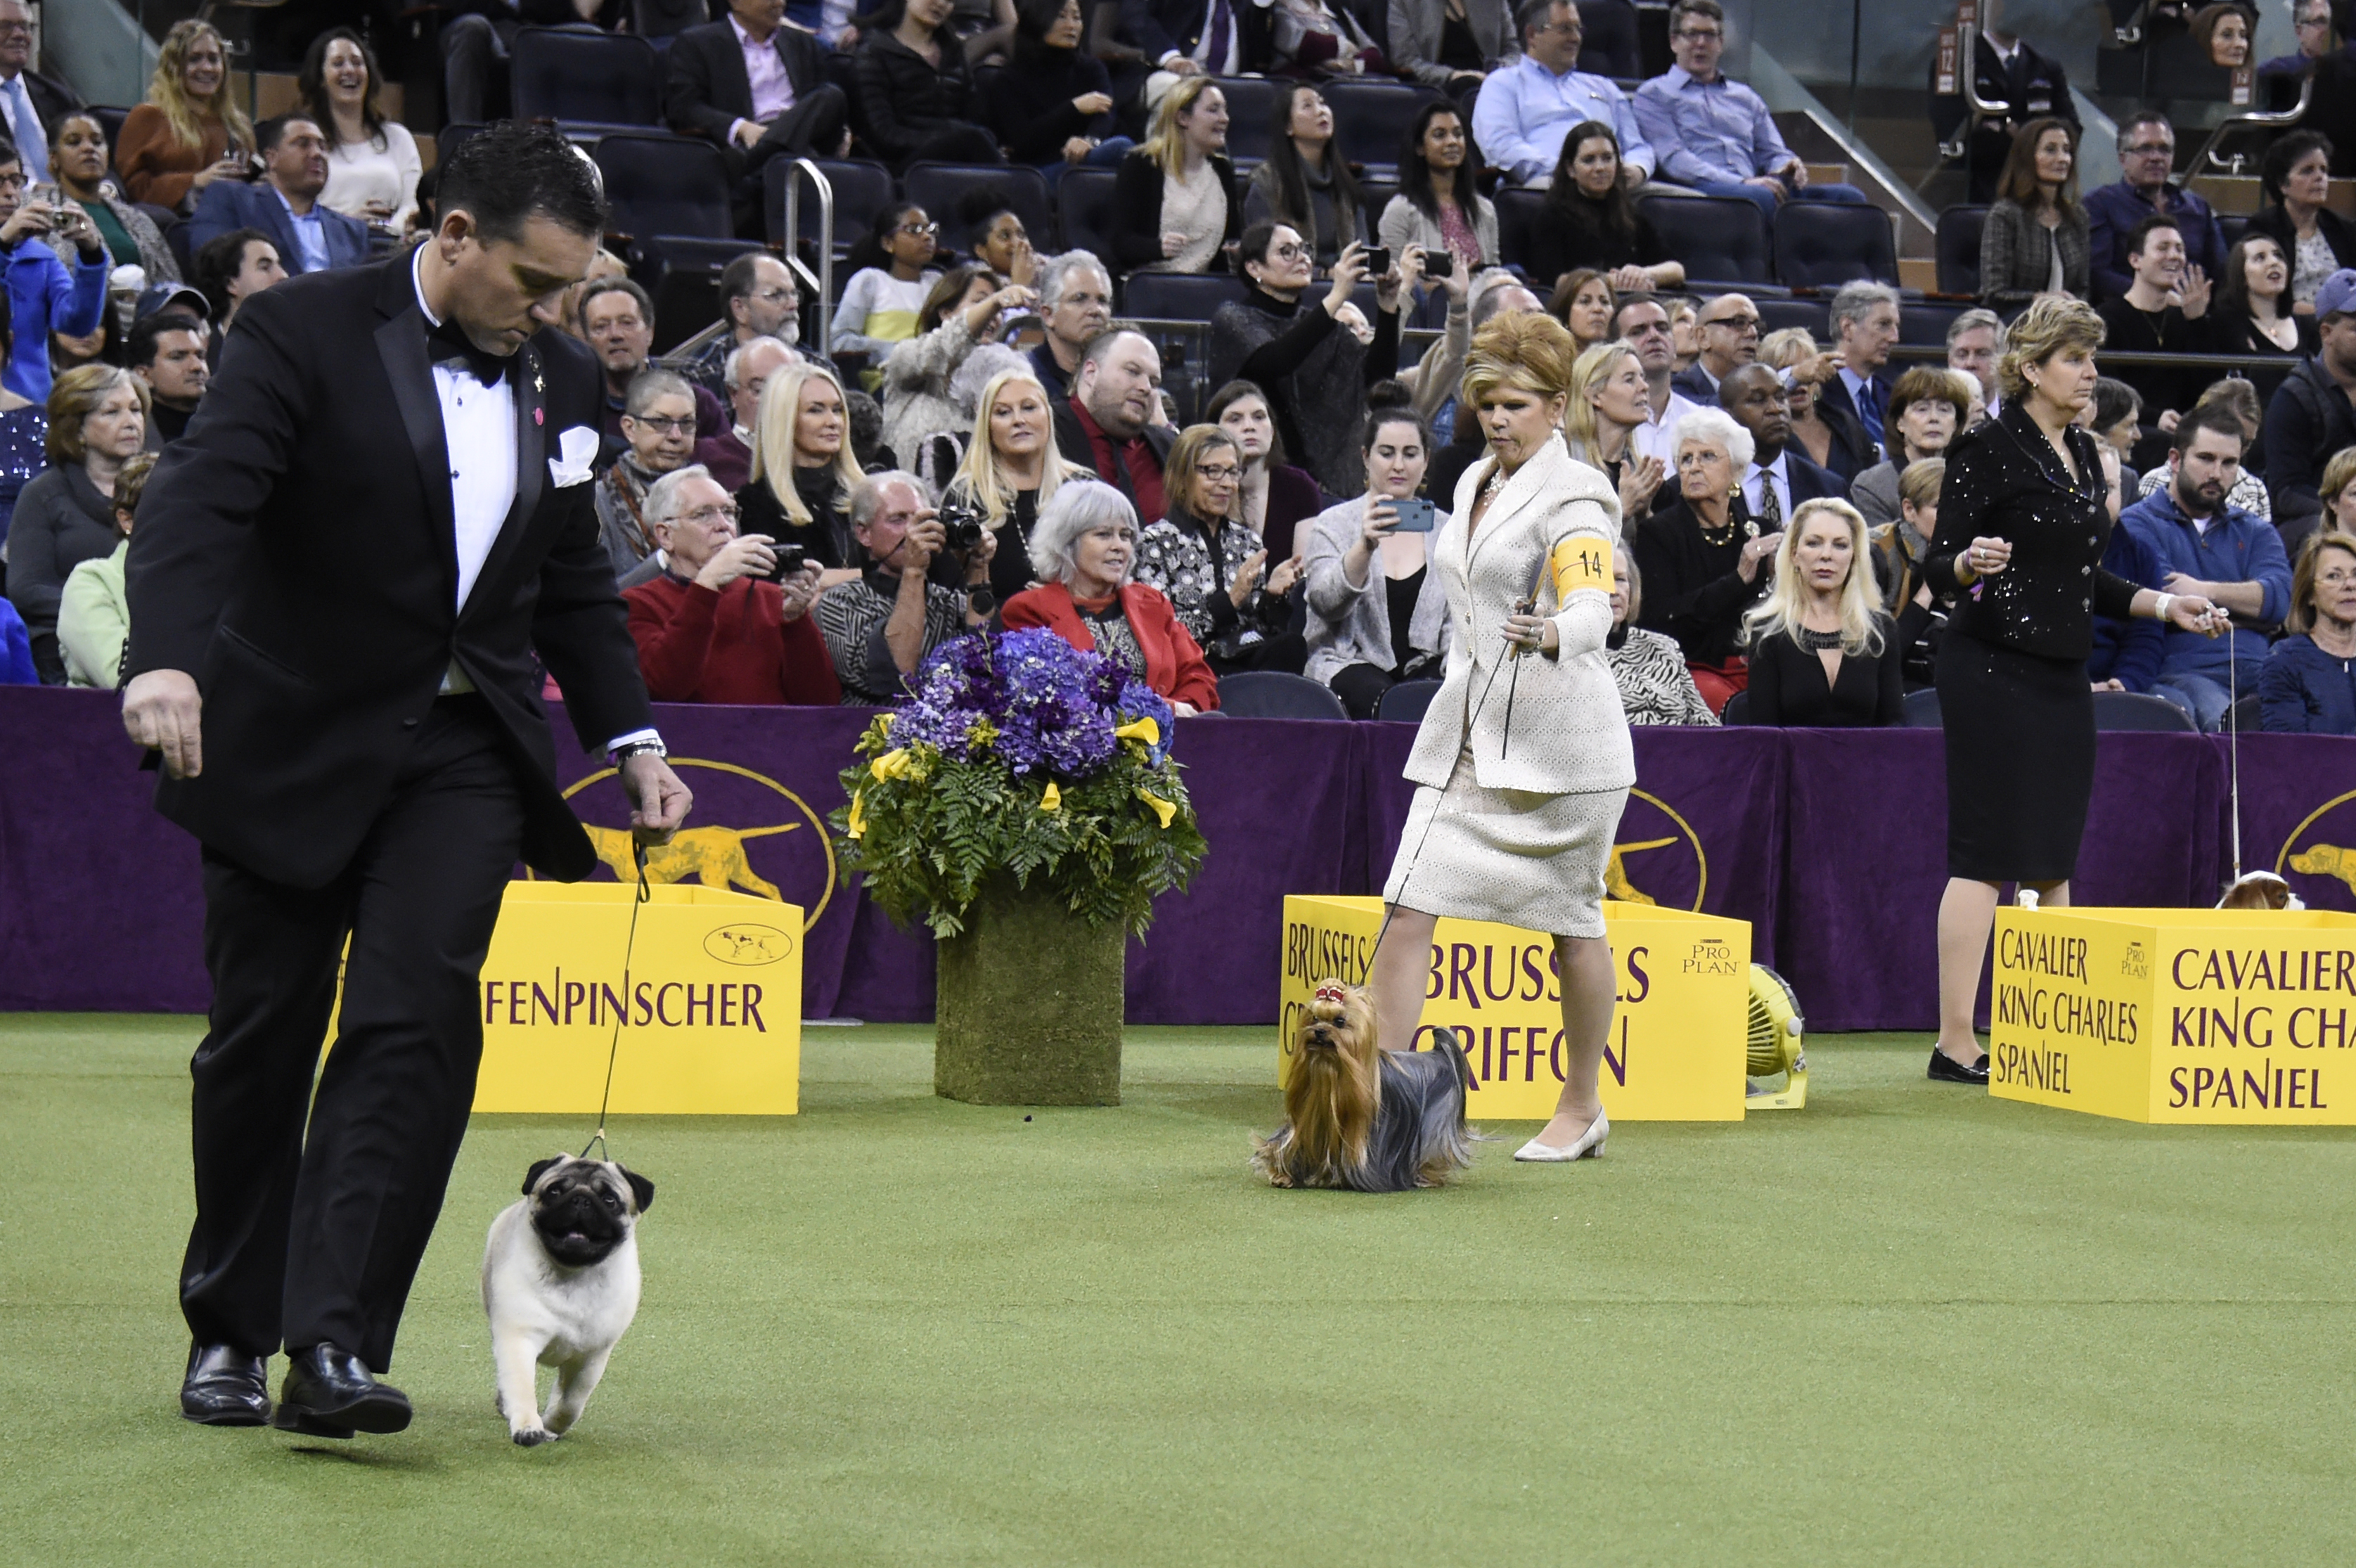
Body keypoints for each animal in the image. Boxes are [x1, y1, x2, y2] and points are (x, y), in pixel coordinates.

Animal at [480, 1150, 655, 1443]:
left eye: (610, 1200)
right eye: (554, 1192)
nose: (581, 1199)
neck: (573, 1275)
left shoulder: (590, 1359)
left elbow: (570, 1404)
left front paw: (551, 1425)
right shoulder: (519, 1340)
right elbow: (521, 1388)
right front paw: (528, 1427)